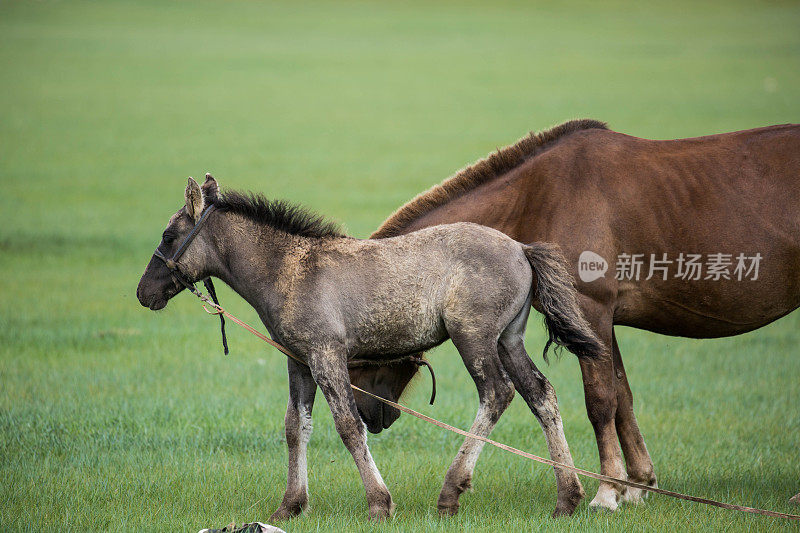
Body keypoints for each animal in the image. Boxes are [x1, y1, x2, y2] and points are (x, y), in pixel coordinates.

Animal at [138, 176, 604, 520]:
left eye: (168, 235)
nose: (144, 293)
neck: (288, 269)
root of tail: (521, 248)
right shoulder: (299, 363)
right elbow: (295, 428)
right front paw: (290, 506)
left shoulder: (326, 355)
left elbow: (348, 425)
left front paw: (380, 504)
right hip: (508, 340)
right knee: (540, 393)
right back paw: (567, 497)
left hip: (472, 337)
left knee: (497, 393)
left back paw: (451, 491)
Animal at [350, 119, 800, 512]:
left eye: (360, 348)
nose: (366, 412)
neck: (538, 196)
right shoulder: (601, 326)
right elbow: (623, 398)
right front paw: (638, 484)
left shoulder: (591, 310)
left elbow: (600, 401)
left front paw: (606, 492)